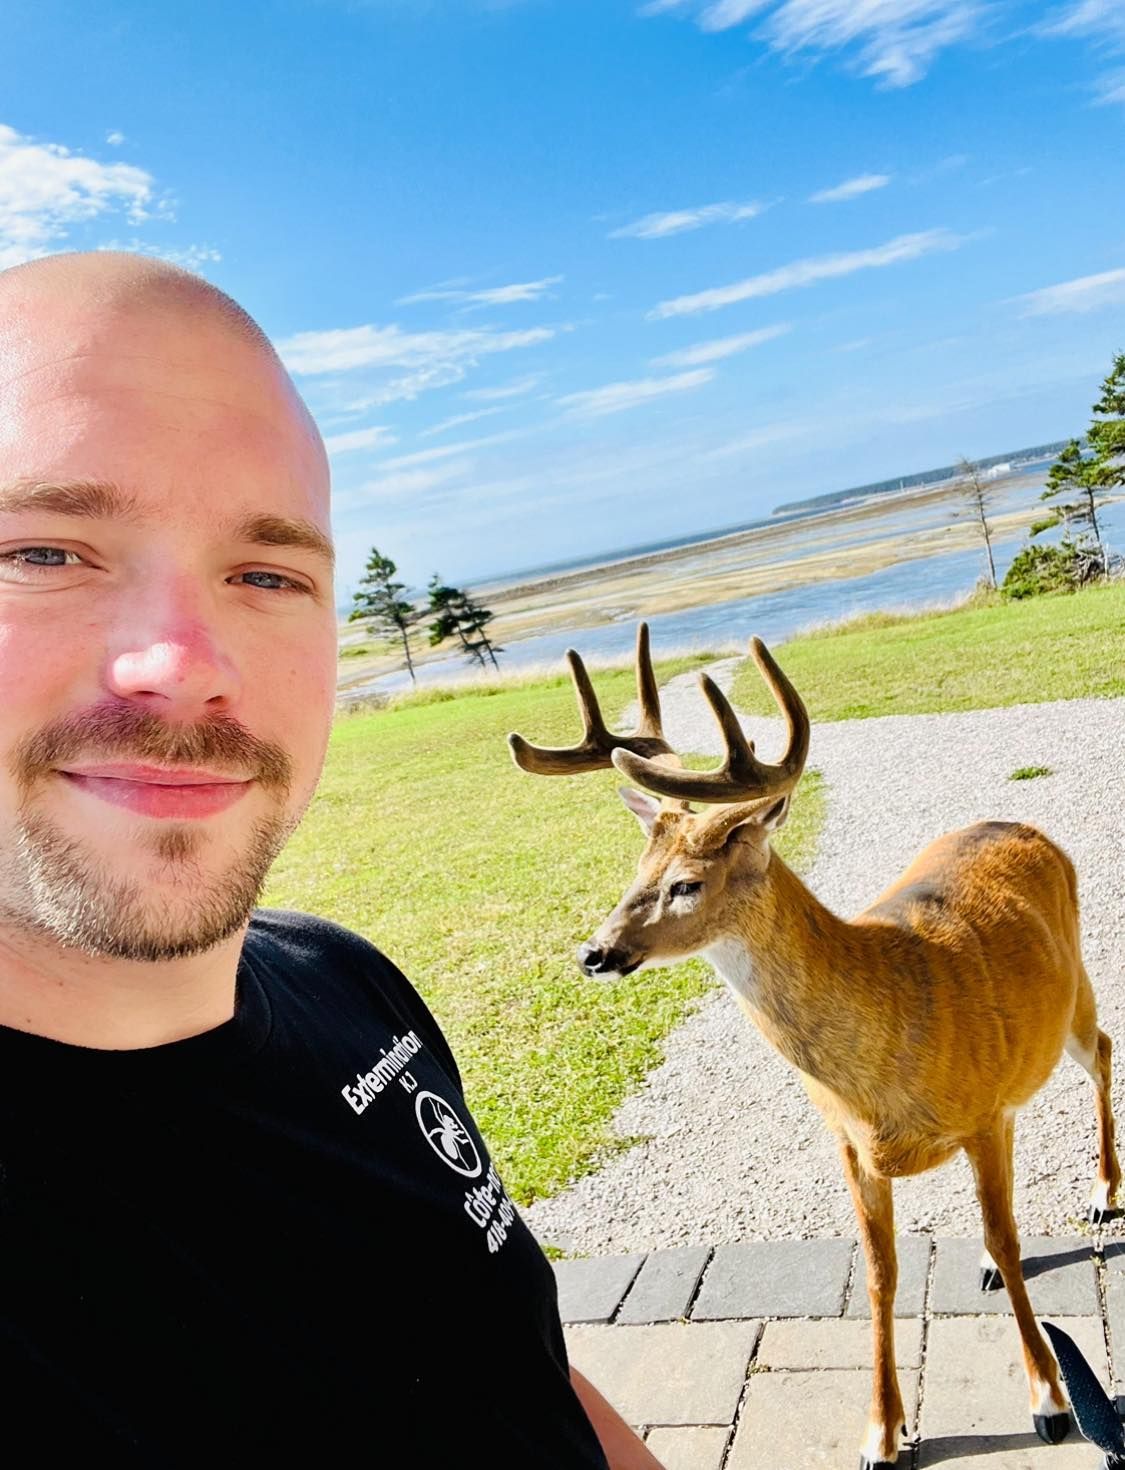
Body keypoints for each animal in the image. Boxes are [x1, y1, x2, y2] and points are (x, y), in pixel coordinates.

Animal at [508, 624, 1121, 1469]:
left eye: (688, 882)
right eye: (638, 868)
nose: (594, 954)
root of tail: (1020, 825)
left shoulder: (978, 1116)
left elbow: (1000, 1231)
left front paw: (1049, 1400)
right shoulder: (850, 1144)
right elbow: (880, 1274)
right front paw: (880, 1433)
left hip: (1073, 993)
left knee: (1101, 1049)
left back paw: (1100, 1196)